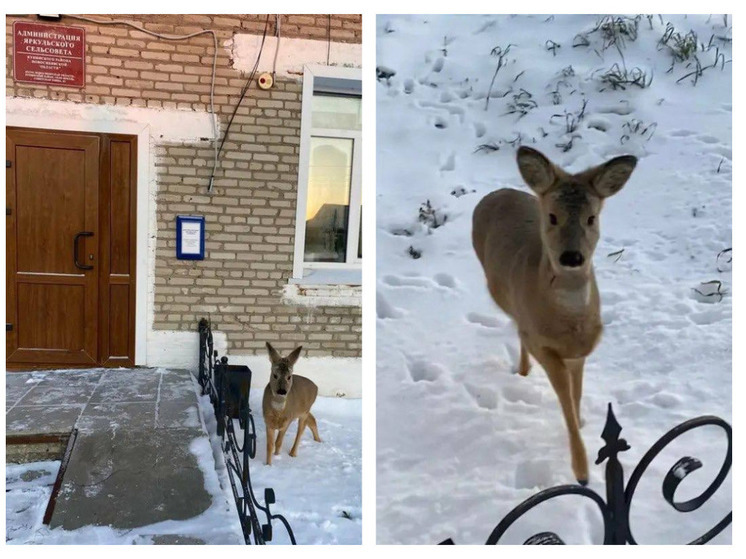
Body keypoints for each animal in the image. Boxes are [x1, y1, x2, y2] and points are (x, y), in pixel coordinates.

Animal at [470, 147, 632, 484]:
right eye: (553, 216)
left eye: (591, 217)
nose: (572, 257)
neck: (570, 323)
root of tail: (496, 193)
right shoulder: (545, 347)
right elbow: (565, 402)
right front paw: (581, 472)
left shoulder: (581, 351)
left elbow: (576, 396)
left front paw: (583, 423)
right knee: (518, 328)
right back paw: (522, 370)